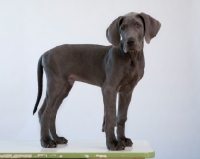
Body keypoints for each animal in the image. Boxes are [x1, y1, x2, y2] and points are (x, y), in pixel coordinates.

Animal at [33, 11, 161, 150]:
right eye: (123, 28)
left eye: (138, 25)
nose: (130, 41)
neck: (132, 58)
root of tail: (45, 53)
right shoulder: (109, 88)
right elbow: (111, 116)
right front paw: (113, 143)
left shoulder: (127, 91)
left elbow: (121, 116)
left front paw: (123, 139)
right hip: (56, 84)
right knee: (44, 112)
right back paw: (46, 141)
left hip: (64, 87)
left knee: (52, 113)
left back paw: (57, 138)